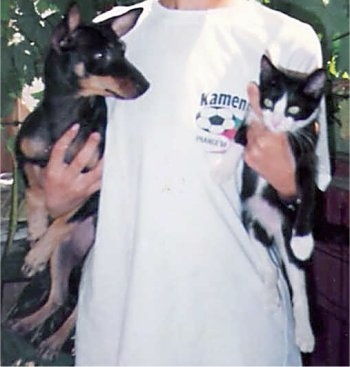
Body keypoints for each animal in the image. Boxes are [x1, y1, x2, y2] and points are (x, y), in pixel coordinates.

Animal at [6, 2, 148, 360]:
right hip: (63, 258)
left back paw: (54, 341)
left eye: (123, 49)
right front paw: (37, 227)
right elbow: (35, 191)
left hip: (90, 271)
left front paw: (35, 253)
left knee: (76, 313)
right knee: (57, 297)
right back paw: (28, 322)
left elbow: (64, 218)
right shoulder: (24, 156)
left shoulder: (96, 190)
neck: (66, 117)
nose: (144, 85)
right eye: (99, 54)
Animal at [235, 55, 328, 354]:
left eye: (294, 108)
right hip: (250, 220)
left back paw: (305, 335)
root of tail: (273, 228)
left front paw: (304, 241)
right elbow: (238, 140)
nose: (275, 121)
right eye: (268, 102)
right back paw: (270, 294)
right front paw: (220, 170)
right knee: (269, 265)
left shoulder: (307, 155)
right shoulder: (251, 125)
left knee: (299, 288)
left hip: (285, 235)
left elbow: (308, 193)